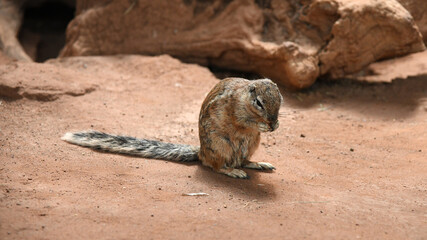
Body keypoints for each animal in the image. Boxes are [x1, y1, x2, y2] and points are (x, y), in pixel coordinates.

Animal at [62, 77, 284, 178]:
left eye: (281, 98)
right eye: (259, 102)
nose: (273, 122)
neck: (244, 99)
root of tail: (201, 152)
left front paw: (277, 124)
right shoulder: (235, 111)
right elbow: (243, 121)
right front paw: (262, 125)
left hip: (251, 144)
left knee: (243, 160)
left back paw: (258, 164)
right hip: (221, 146)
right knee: (216, 166)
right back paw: (233, 171)